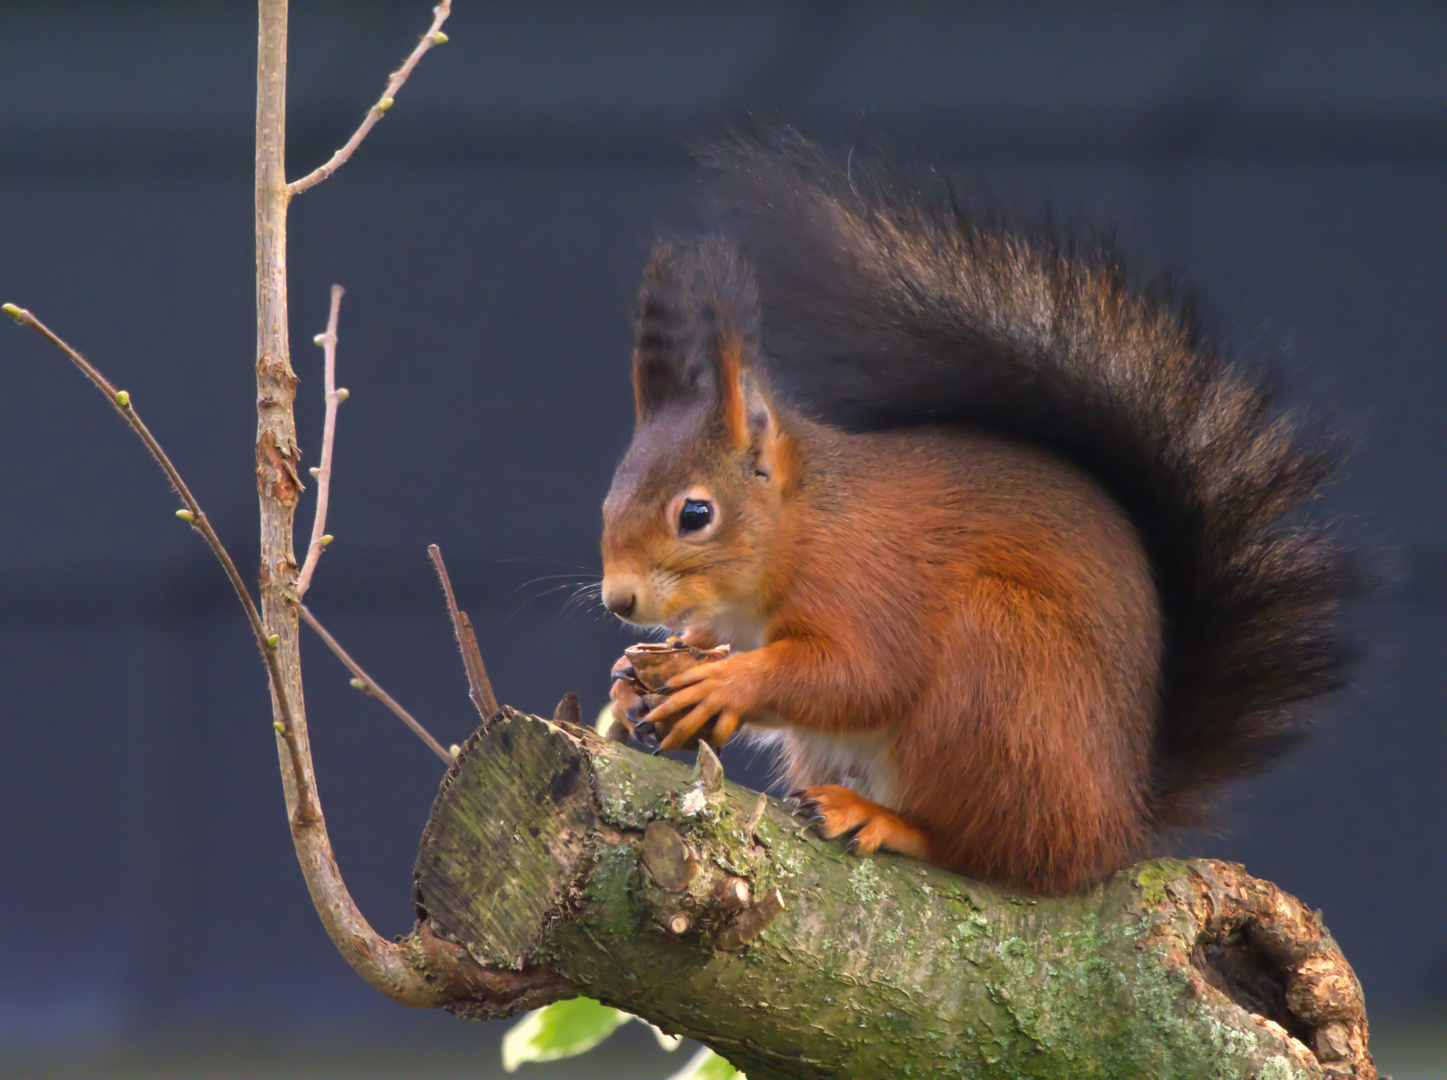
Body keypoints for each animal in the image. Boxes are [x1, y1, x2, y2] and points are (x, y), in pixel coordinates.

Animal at [596, 132, 1354, 891]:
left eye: (696, 514)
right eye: (608, 498)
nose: (618, 600)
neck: (801, 531)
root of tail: (1117, 827)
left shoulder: (869, 584)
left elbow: (862, 674)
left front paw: (727, 682)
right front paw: (642, 675)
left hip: (997, 672)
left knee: (990, 848)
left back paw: (882, 819)